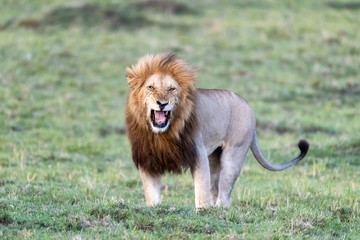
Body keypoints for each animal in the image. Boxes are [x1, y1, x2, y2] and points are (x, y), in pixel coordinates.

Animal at [125, 52, 308, 208]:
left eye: (172, 89)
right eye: (151, 87)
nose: (161, 103)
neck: (164, 133)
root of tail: (248, 107)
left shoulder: (197, 153)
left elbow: (201, 188)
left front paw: (202, 210)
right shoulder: (147, 158)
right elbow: (151, 191)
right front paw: (154, 207)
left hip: (234, 154)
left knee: (225, 191)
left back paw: (219, 209)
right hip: (214, 156)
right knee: (215, 185)